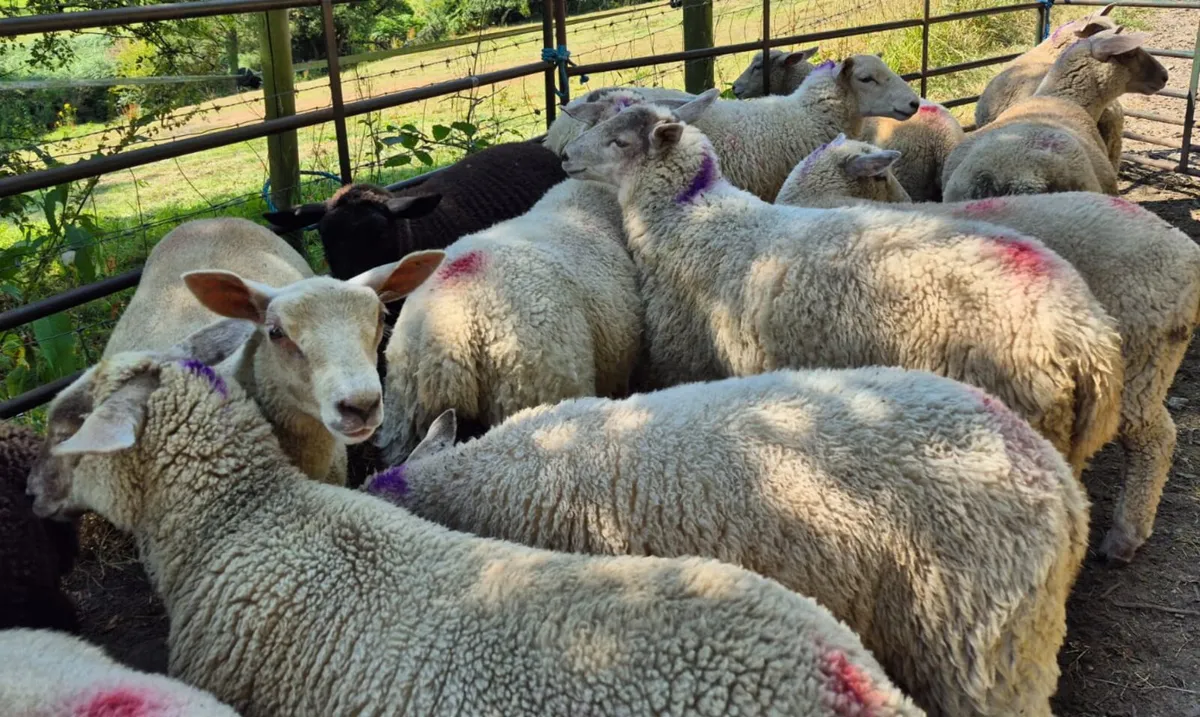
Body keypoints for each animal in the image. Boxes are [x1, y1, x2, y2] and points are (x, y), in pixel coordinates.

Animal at [778, 138, 1200, 565]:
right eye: (882, 177)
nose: (909, 198)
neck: (822, 196)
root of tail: (1187, 255)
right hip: (1145, 366)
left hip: (1138, 354)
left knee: (1155, 440)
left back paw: (1124, 536)